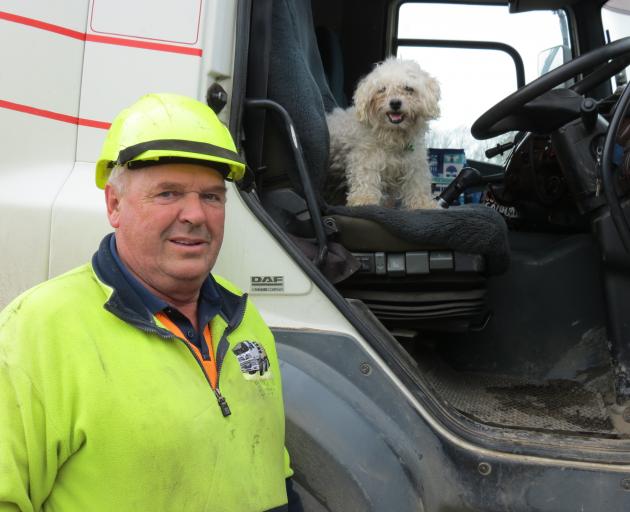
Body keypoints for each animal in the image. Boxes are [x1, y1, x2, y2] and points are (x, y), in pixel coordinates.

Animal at [328, 59, 442, 210]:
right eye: (382, 89)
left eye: (408, 88)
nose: (395, 103)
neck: (393, 136)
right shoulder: (366, 159)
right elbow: (366, 179)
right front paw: (365, 199)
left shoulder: (414, 163)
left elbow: (417, 184)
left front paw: (423, 204)